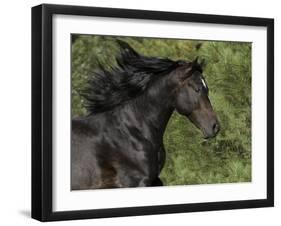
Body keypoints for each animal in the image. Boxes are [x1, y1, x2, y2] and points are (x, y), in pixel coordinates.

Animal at [70, 39, 219, 190]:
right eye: (197, 89)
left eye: (206, 88)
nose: (215, 127)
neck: (130, 132)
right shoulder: (136, 182)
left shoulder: (154, 180)